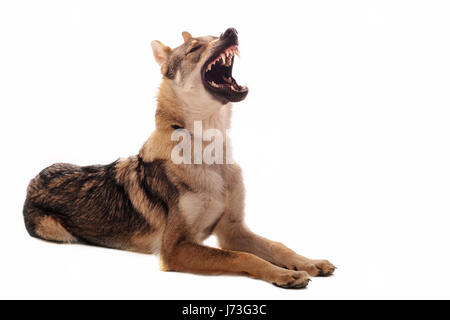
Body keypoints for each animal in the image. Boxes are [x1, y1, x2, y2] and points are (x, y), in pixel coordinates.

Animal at [23, 26, 334, 288]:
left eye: (215, 35)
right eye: (195, 48)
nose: (231, 31)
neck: (210, 150)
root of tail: (34, 177)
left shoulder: (233, 230)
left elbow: (277, 246)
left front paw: (308, 263)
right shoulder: (175, 248)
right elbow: (242, 257)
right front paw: (286, 274)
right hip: (60, 233)